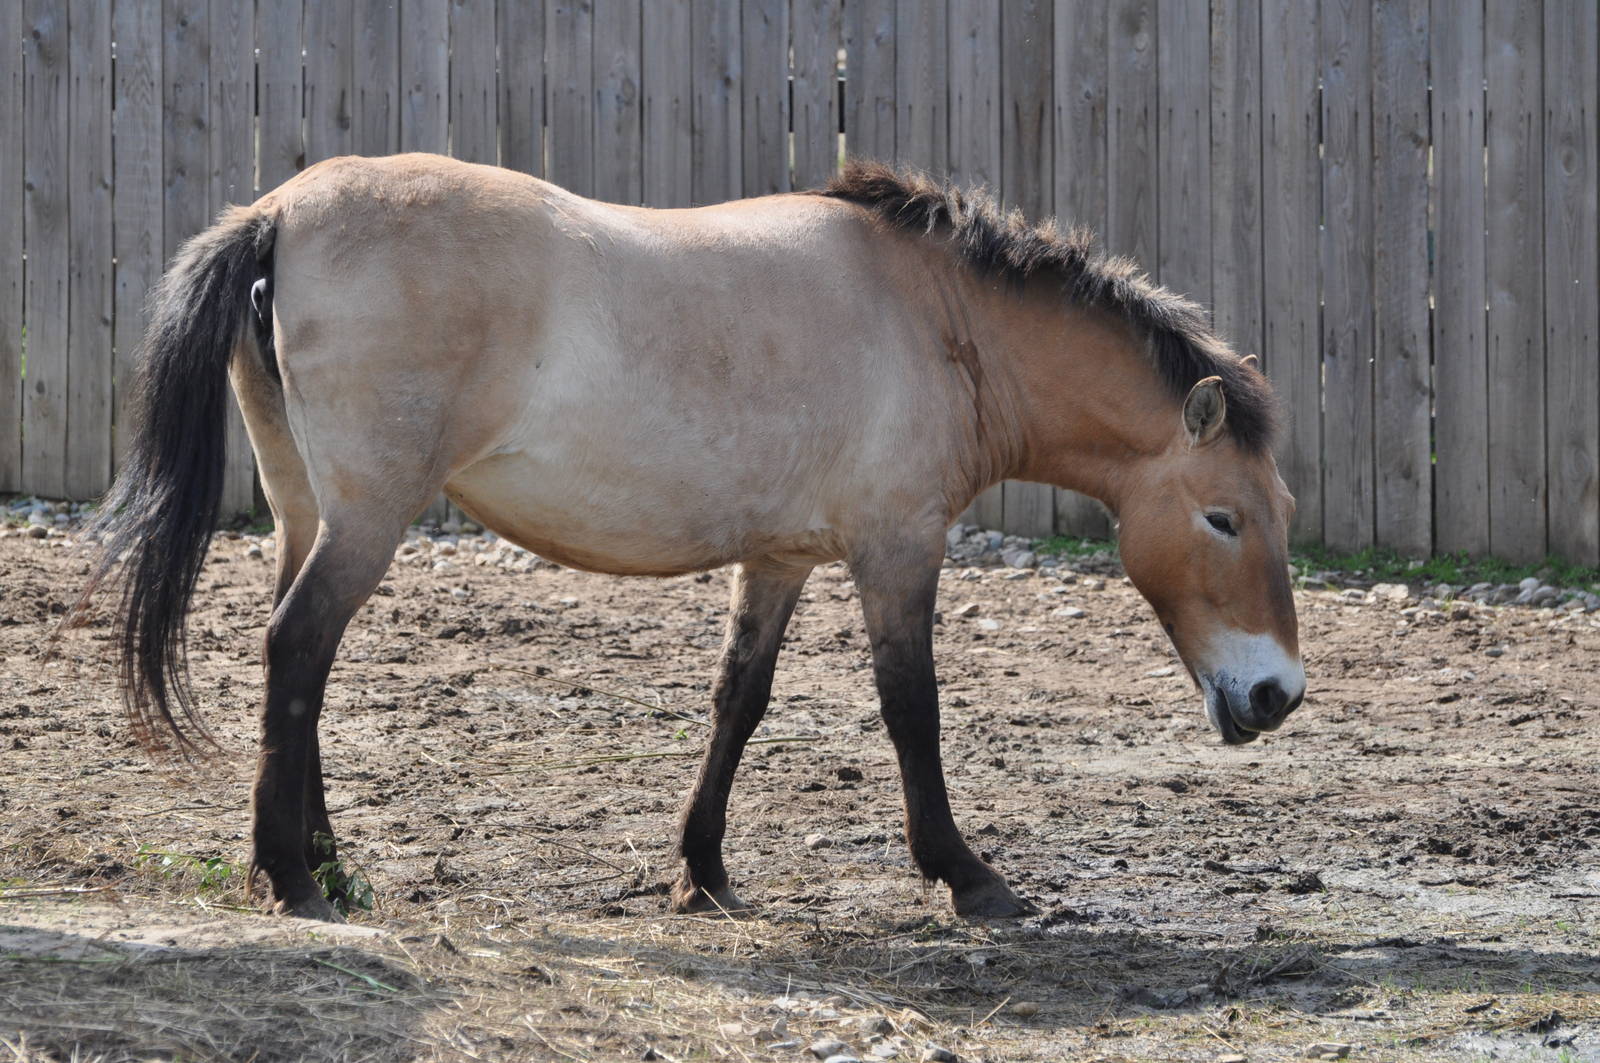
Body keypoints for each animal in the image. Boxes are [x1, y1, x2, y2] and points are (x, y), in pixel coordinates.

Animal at [73, 154, 1304, 922]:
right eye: (1223, 517)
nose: (1274, 696)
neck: (937, 321)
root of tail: (282, 211)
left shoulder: (782, 557)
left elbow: (736, 702)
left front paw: (700, 872)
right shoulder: (898, 550)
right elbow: (912, 710)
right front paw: (966, 875)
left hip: (308, 511)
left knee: (302, 668)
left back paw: (328, 864)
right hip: (366, 519)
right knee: (296, 650)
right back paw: (290, 879)